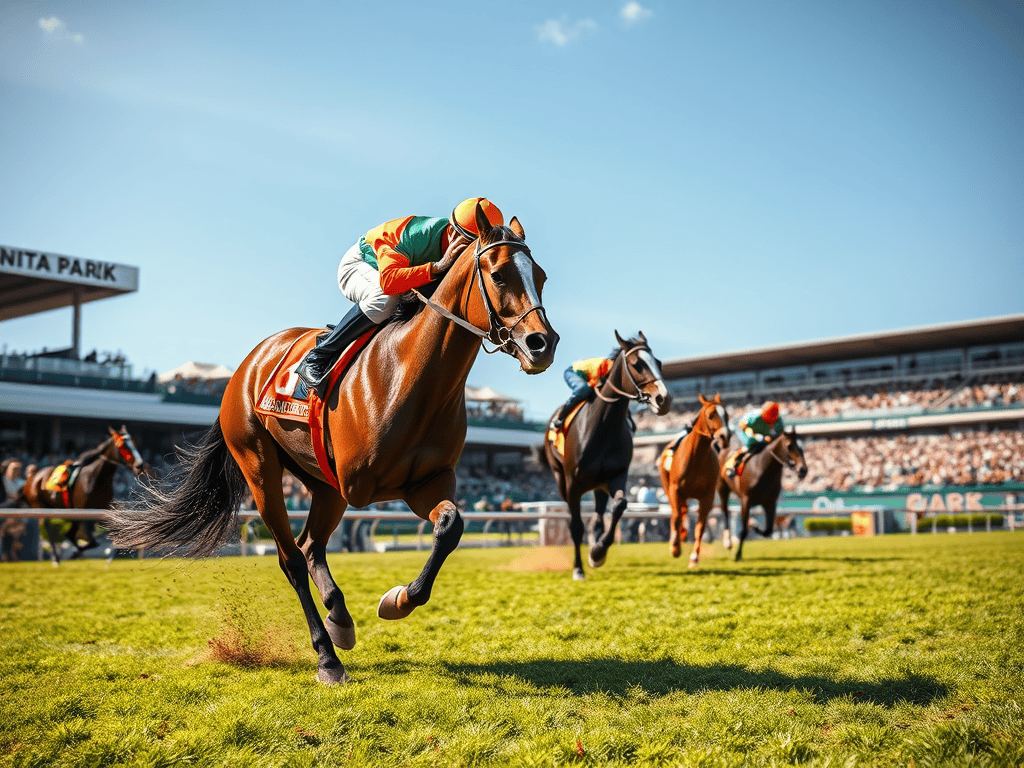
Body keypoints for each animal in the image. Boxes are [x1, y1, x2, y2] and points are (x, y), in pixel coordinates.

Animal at [19, 426, 145, 565]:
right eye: (123, 446)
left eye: (135, 443)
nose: (139, 465)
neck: (95, 479)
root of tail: (31, 478)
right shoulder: (83, 513)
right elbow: (93, 542)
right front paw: (76, 552)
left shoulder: (103, 510)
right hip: (40, 506)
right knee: (49, 529)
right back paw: (55, 557)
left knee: (69, 534)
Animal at [108, 205, 558, 684]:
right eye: (499, 274)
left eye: (541, 276)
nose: (542, 343)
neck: (413, 377)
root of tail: (245, 367)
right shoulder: (363, 486)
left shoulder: (427, 482)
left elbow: (450, 526)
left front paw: (397, 599)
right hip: (261, 467)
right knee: (291, 557)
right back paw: (327, 656)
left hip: (321, 482)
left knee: (310, 546)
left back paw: (340, 619)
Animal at [539, 331, 672, 580]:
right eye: (637, 364)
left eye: (658, 363)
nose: (664, 399)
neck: (602, 428)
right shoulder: (573, 484)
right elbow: (576, 526)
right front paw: (578, 568)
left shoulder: (617, 475)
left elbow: (619, 505)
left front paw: (598, 552)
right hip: (561, 477)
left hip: (598, 485)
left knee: (598, 519)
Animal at [657, 394, 730, 569]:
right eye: (711, 415)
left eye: (727, 415)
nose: (725, 436)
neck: (696, 458)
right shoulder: (675, 489)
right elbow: (676, 517)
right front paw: (675, 548)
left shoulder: (707, 496)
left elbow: (700, 527)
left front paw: (694, 558)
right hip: (667, 486)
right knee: (677, 514)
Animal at [716, 428, 808, 561]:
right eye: (789, 446)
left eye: (801, 447)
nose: (803, 469)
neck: (762, 469)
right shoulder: (746, 500)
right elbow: (744, 529)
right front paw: (738, 554)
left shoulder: (770, 502)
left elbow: (768, 530)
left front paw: (755, 527)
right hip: (722, 488)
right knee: (725, 512)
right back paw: (727, 542)